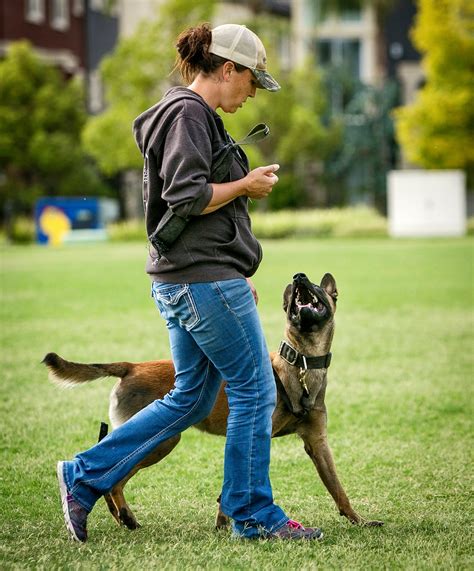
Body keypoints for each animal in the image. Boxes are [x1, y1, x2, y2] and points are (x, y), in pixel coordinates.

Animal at [42, 272, 384, 532]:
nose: (298, 276)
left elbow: (338, 488)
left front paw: (359, 520)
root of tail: (132, 366)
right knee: (114, 477)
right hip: (163, 442)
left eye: (313, 285)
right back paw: (119, 512)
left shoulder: (317, 442)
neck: (300, 363)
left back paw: (117, 516)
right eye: (299, 290)